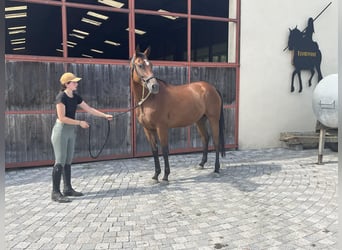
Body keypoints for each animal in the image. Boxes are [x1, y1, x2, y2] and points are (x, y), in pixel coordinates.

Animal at [130, 46, 224, 182]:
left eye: (151, 65)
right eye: (140, 65)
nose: (154, 86)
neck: (149, 100)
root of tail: (212, 88)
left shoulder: (162, 128)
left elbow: (165, 149)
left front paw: (165, 176)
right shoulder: (148, 129)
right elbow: (154, 150)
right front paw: (155, 175)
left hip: (213, 119)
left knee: (216, 141)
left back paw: (216, 169)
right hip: (200, 120)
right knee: (205, 138)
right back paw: (201, 164)